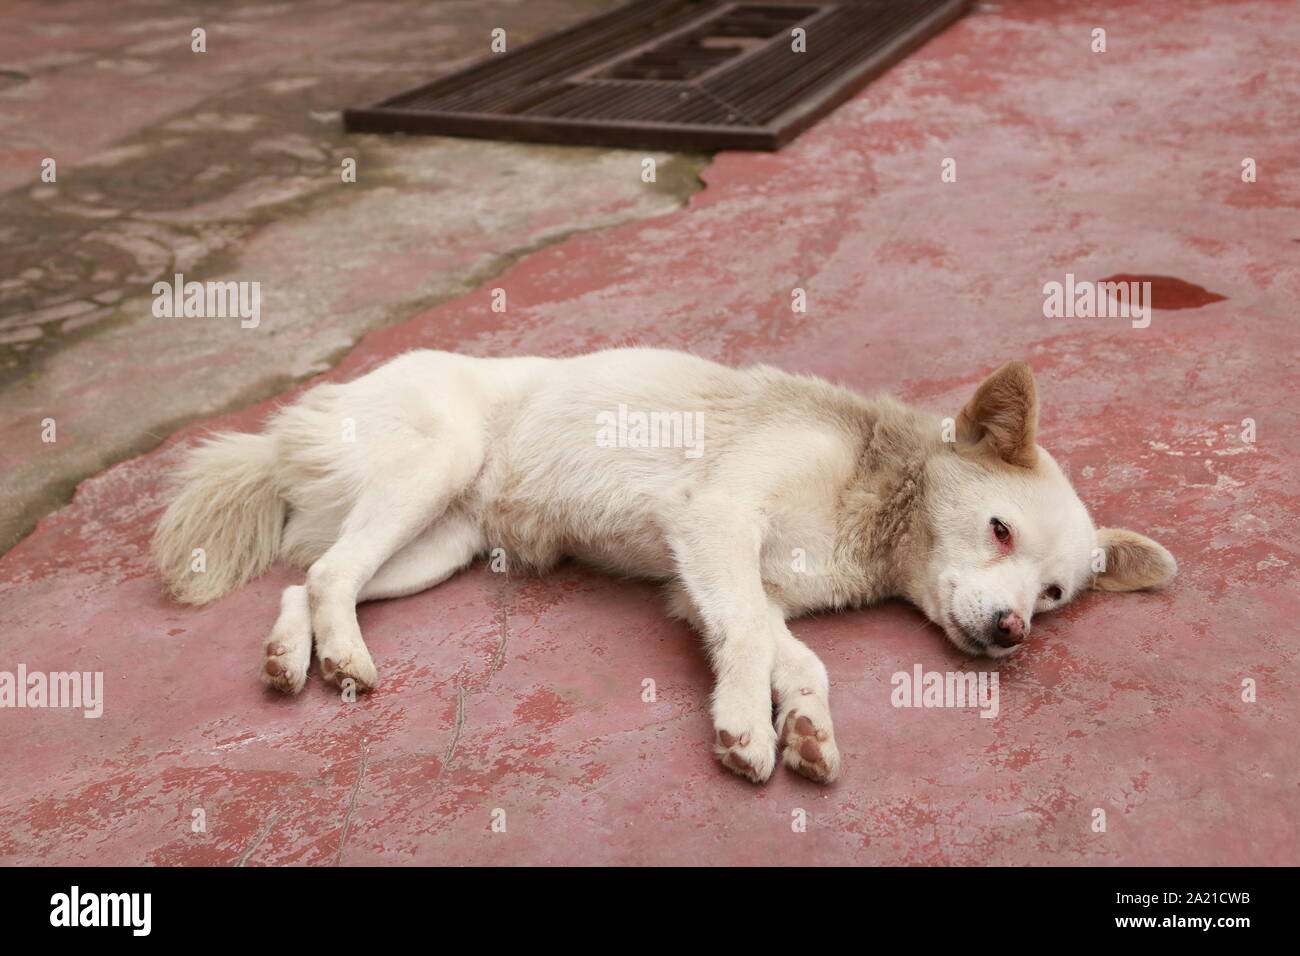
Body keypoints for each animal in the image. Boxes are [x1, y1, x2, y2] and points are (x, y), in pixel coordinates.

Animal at [154, 351, 1180, 785]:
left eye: (1055, 595)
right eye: (1000, 531)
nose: (1012, 632)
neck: (876, 500)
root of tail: (302, 417)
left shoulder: (740, 585)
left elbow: (794, 656)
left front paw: (806, 727)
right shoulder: (715, 526)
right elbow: (749, 644)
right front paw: (746, 727)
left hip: (436, 546)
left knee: (310, 574)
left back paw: (293, 656)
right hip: (432, 466)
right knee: (328, 575)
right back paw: (342, 658)